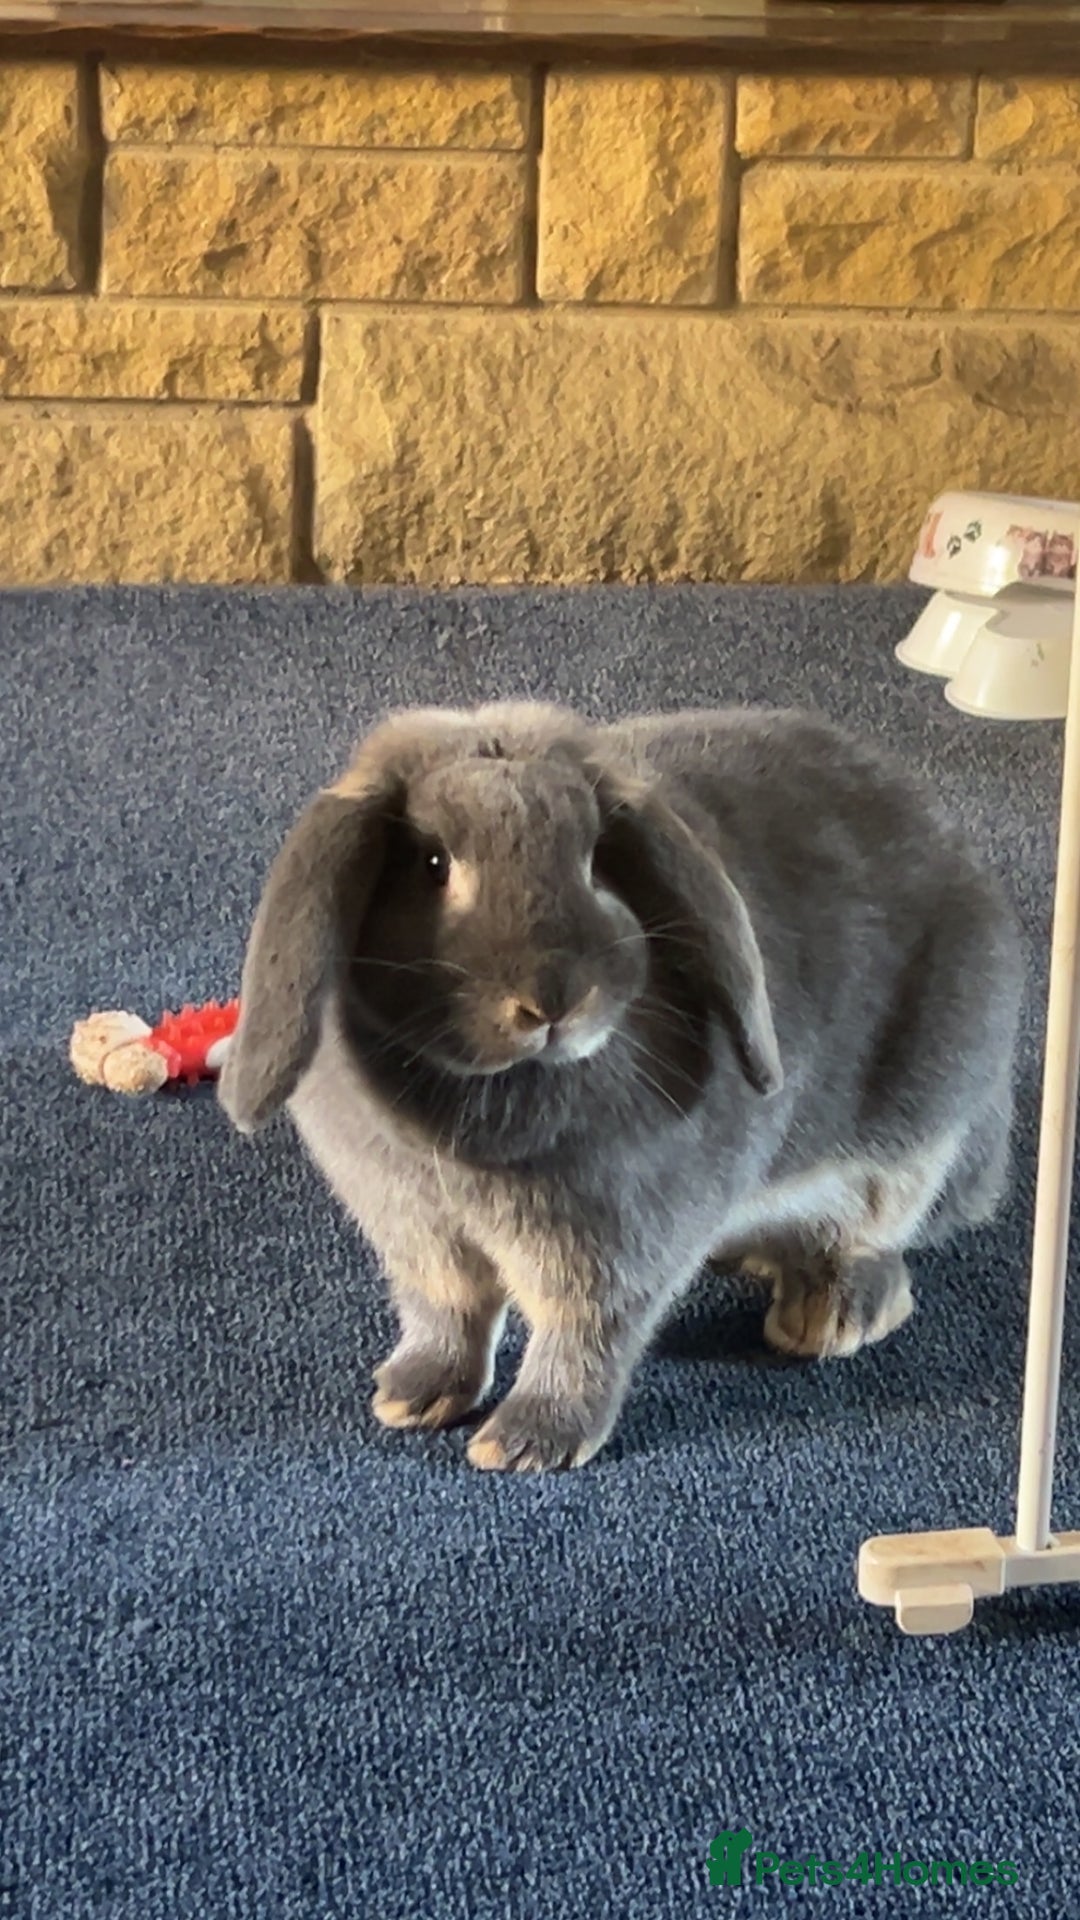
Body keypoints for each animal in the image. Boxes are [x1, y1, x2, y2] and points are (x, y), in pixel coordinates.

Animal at [219, 700, 1023, 1472]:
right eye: (433, 862)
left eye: (595, 859)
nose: (552, 1000)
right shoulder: (417, 1230)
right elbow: (448, 1310)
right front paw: (412, 1394)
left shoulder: (612, 1243)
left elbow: (584, 1334)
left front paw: (527, 1443)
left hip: (910, 1138)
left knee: (873, 1240)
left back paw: (826, 1317)